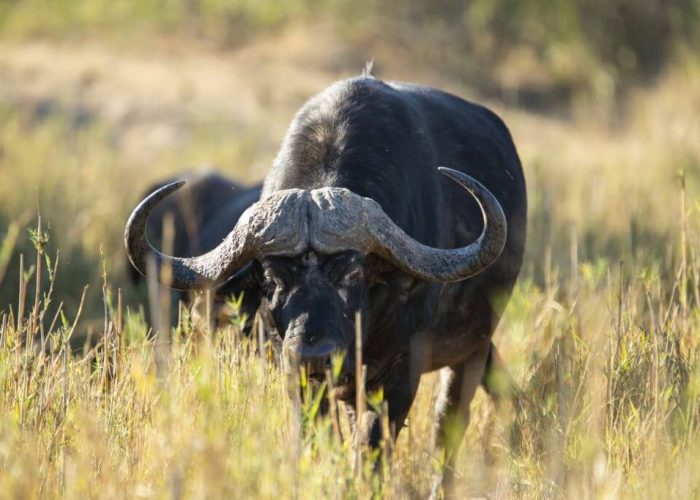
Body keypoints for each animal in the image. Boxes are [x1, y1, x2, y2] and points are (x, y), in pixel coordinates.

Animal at [125, 70, 527, 493]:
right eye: (271, 280)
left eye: (353, 273)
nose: (313, 355)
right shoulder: (294, 373)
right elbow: (319, 439)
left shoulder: (402, 373)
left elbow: (373, 446)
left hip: (471, 347)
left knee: (448, 424)